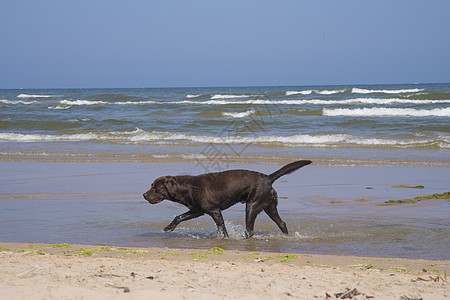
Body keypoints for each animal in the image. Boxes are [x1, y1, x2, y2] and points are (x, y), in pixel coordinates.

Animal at [142, 161, 312, 238]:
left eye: (155, 188)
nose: (143, 195)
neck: (188, 187)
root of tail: (268, 178)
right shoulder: (198, 210)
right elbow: (179, 217)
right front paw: (169, 227)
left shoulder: (214, 211)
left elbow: (222, 227)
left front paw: (225, 238)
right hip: (269, 206)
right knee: (281, 223)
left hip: (252, 205)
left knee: (250, 229)